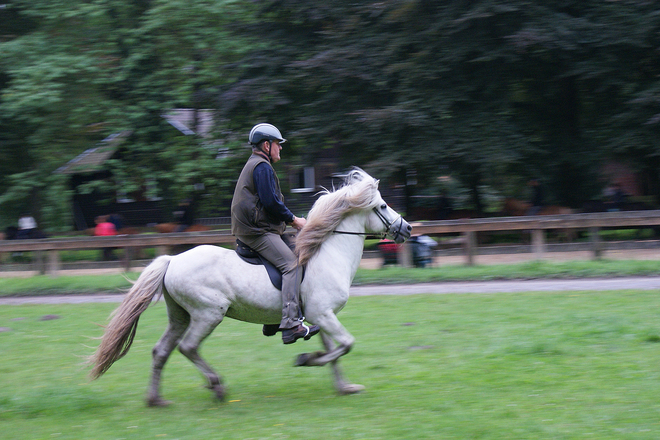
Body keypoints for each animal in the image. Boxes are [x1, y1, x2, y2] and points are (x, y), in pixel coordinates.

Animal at [89, 168, 410, 406]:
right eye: (382, 206)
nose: (406, 228)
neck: (328, 254)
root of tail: (172, 260)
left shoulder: (321, 316)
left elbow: (336, 352)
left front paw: (344, 387)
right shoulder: (323, 315)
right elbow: (345, 345)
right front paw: (306, 359)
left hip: (180, 315)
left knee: (161, 351)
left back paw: (156, 400)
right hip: (209, 313)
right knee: (188, 347)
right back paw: (217, 386)